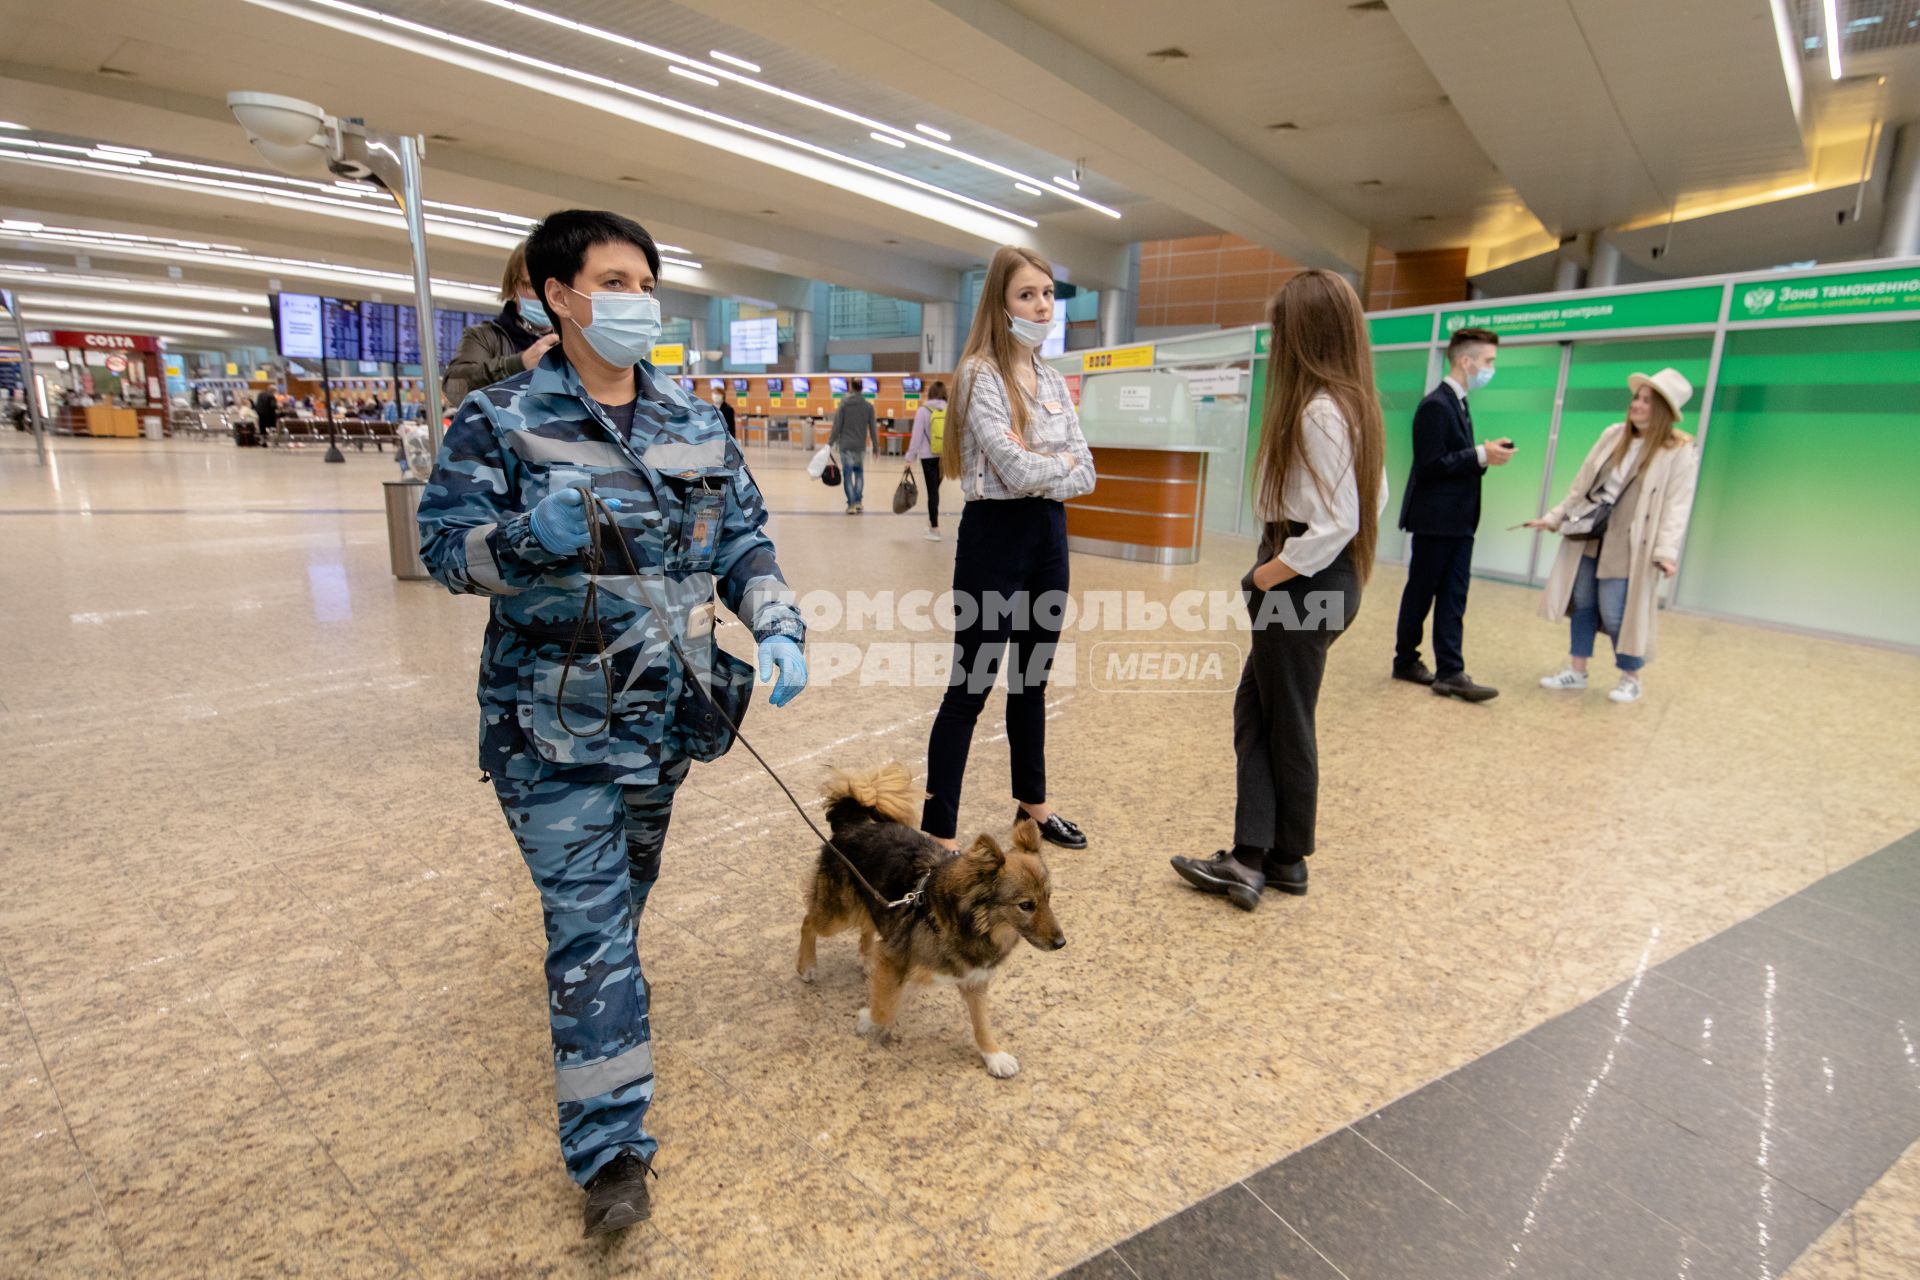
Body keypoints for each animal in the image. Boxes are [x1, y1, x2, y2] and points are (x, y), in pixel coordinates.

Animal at [794, 767, 1067, 1074]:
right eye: (1026, 905)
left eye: (1048, 898)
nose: (1061, 942)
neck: (967, 922)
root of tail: (854, 823)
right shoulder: (895, 960)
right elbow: (886, 1008)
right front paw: (868, 1019)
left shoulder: (974, 980)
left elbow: (981, 1023)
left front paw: (993, 1055)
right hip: (839, 914)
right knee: (808, 922)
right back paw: (806, 966)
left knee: (867, 929)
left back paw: (867, 960)